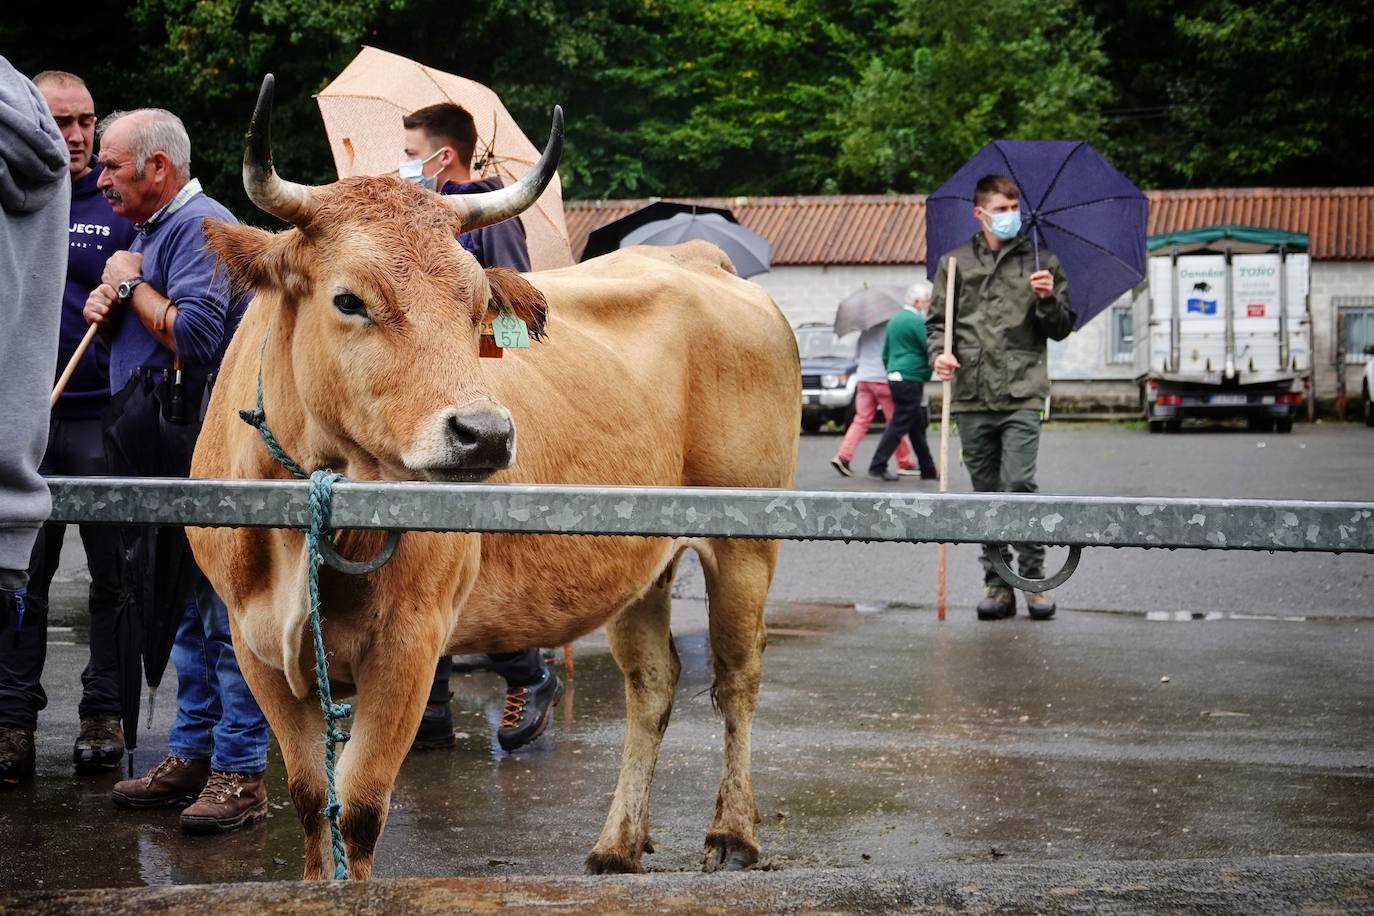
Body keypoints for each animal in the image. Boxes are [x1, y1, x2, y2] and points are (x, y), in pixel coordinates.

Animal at [188, 75, 802, 878]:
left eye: (478, 303)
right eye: (349, 299)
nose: (486, 432)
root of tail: (699, 258)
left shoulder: (411, 644)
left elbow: (359, 809)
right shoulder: (254, 644)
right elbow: (310, 801)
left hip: (746, 544)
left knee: (736, 679)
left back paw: (732, 832)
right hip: (638, 562)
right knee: (652, 684)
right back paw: (618, 843)